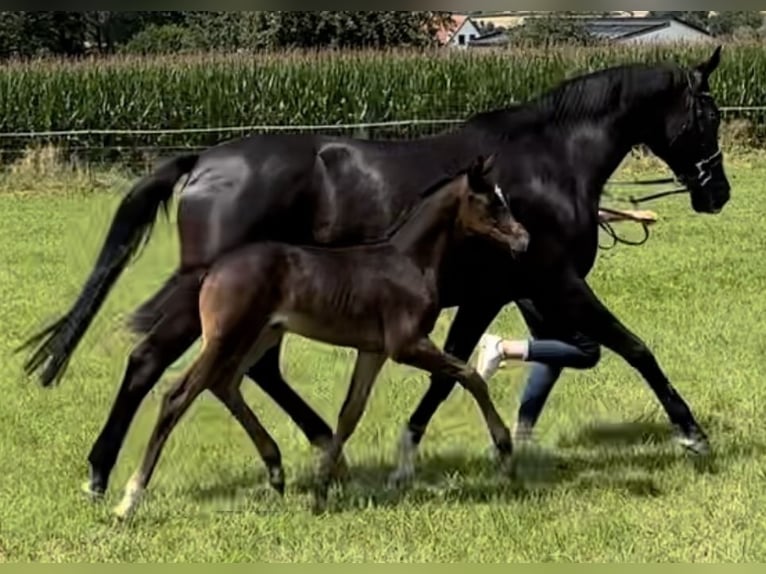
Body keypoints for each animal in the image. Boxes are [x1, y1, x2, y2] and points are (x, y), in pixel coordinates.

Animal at [114, 155, 532, 520]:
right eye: (491, 202)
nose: (523, 239)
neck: (409, 261)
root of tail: (213, 269)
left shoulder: (372, 351)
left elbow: (349, 414)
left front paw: (321, 490)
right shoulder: (407, 344)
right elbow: (470, 376)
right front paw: (505, 452)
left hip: (260, 335)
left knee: (224, 383)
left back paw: (276, 471)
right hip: (227, 336)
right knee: (179, 395)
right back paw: (128, 501)